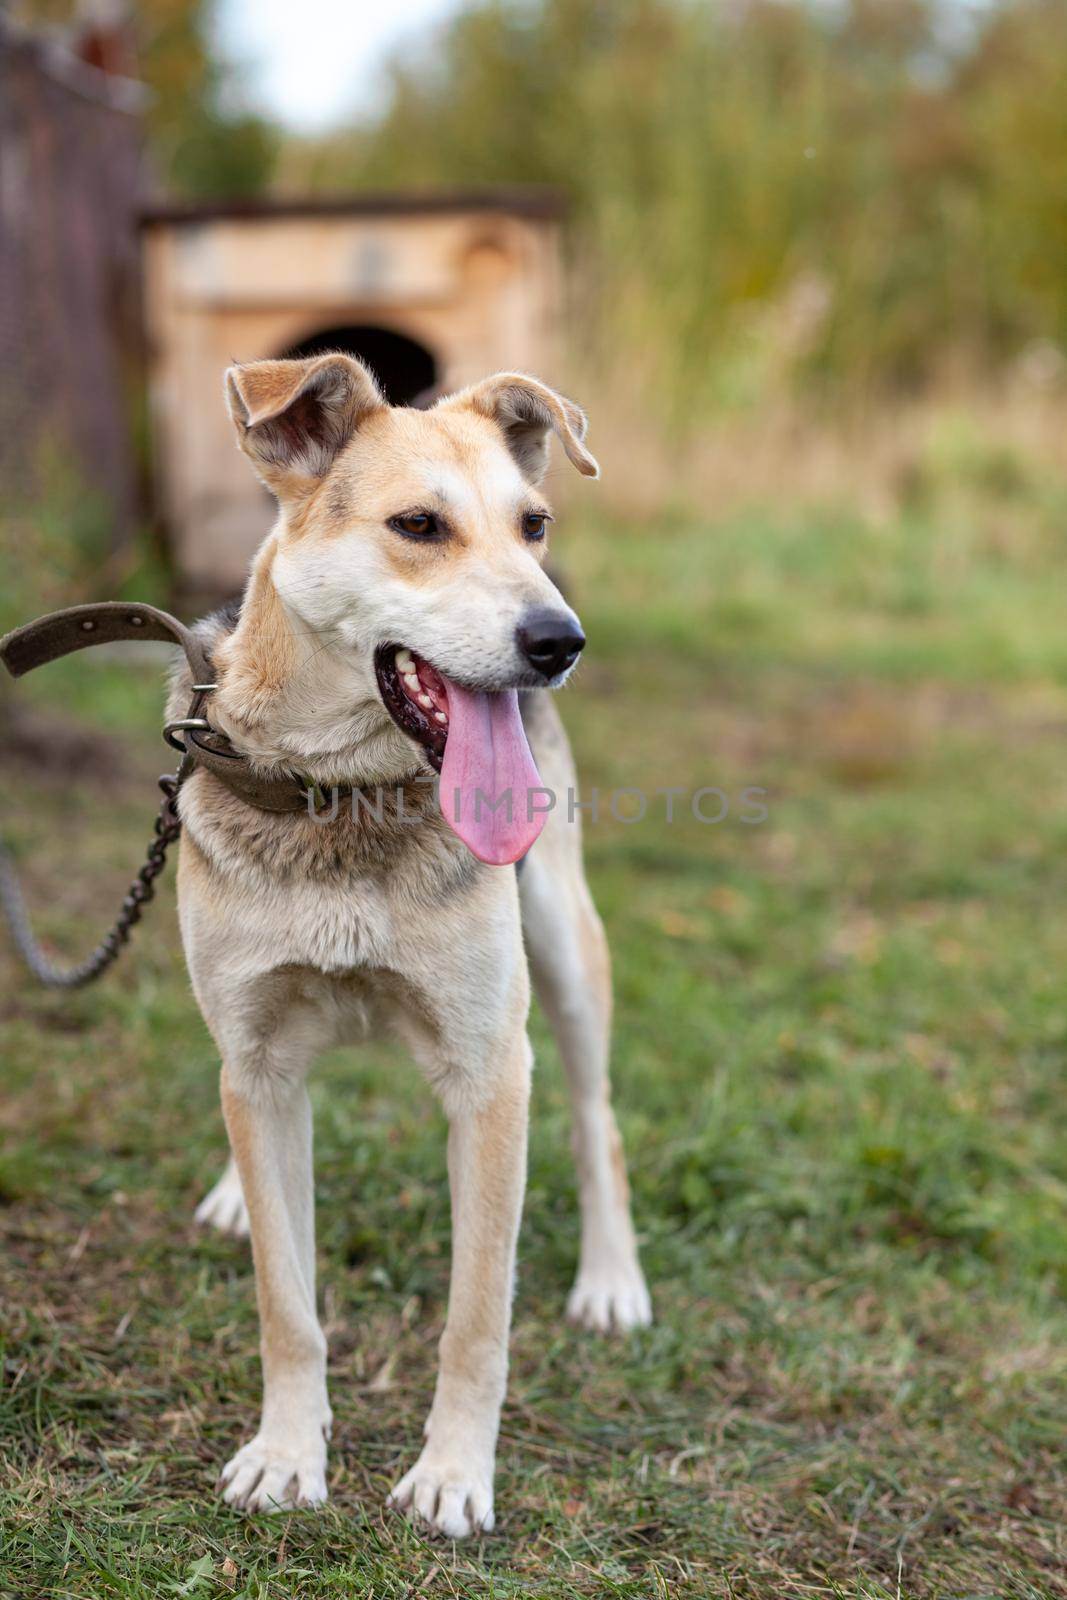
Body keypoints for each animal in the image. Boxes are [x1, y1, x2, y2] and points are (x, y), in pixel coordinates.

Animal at [175, 353, 652, 1536]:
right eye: (418, 526)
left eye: (533, 524)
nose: (559, 642)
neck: (342, 796)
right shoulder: (258, 1057)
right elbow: (287, 1301)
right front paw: (285, 1454)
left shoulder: (489, 1070)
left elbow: (475, 1316)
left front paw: (450, 1475)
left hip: (564, 954)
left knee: (596, 1120)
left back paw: (612, 1281)